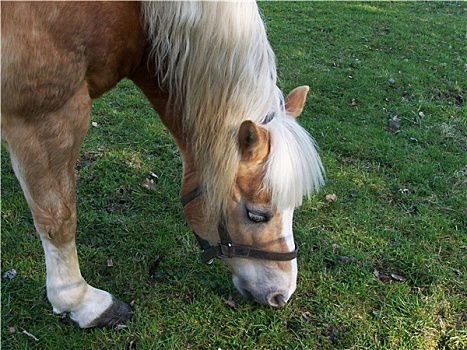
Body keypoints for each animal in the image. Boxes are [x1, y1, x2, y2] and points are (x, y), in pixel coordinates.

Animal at [0, 0, 326, 328]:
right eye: (256, 215)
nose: (282, 294)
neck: (133, 14)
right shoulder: (45, 117)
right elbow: (58, 219)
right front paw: (80, 301)